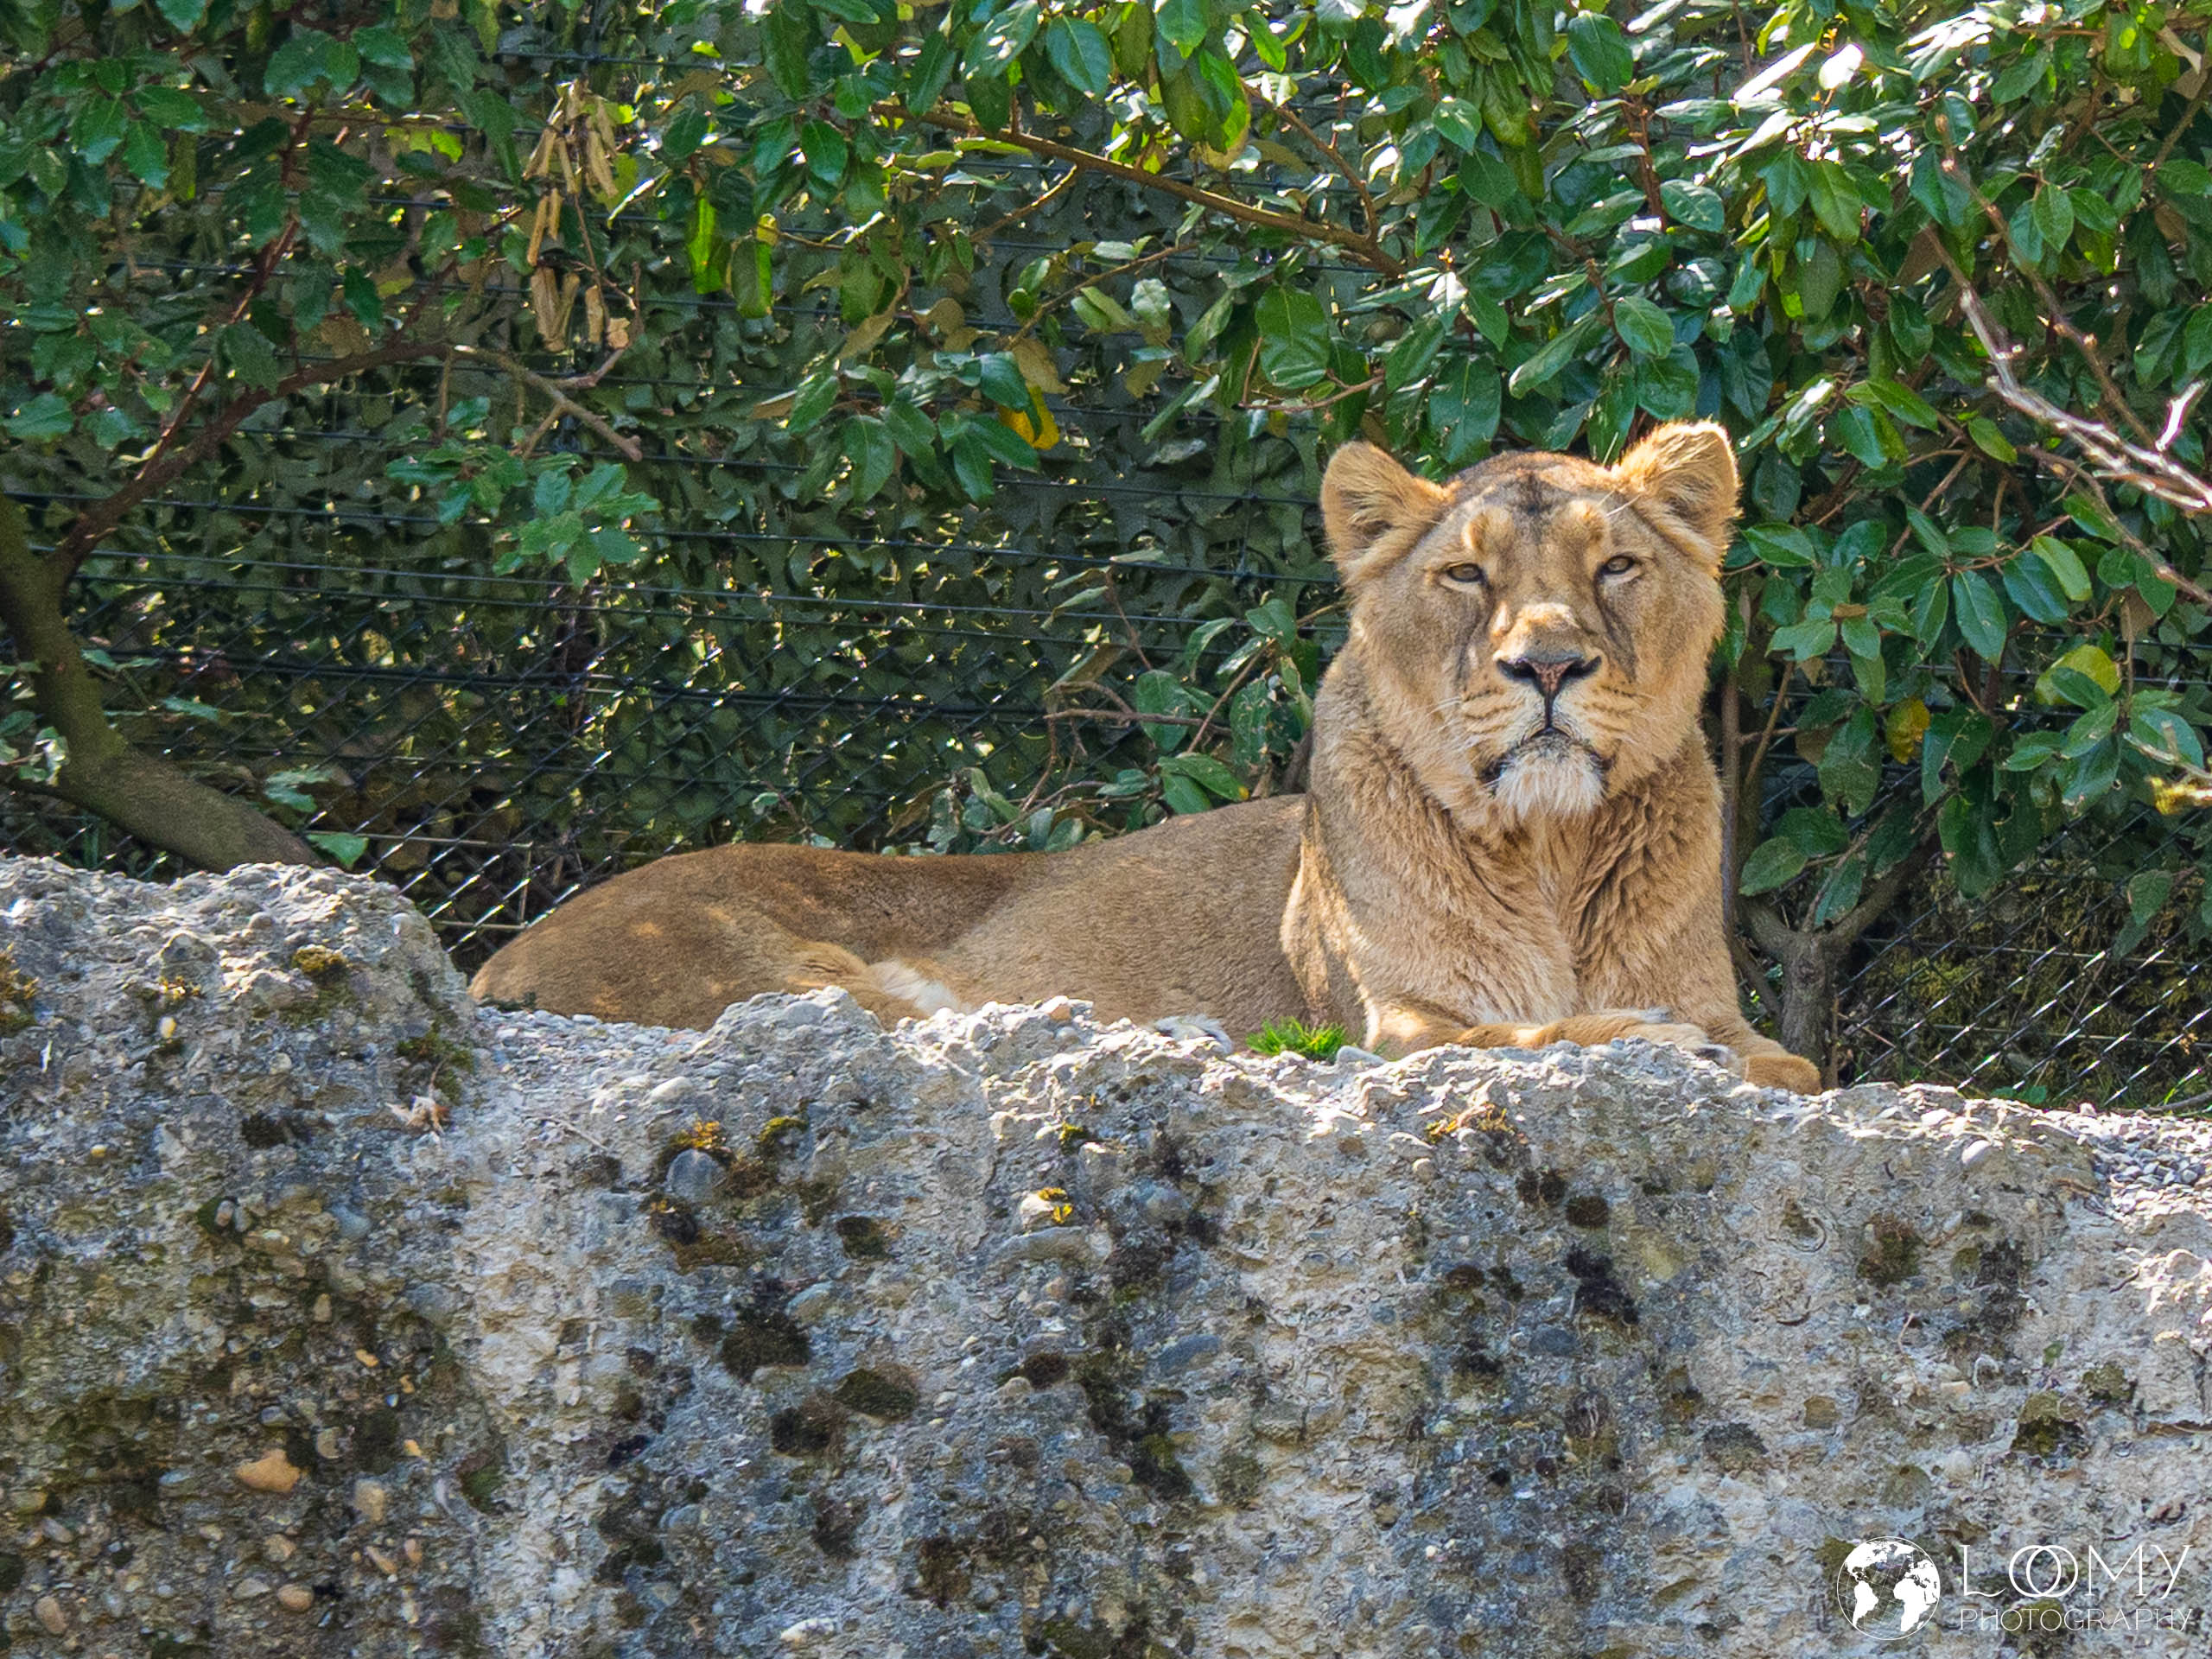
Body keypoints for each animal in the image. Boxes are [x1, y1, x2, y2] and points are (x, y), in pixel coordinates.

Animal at [470, 420, 1822, 1093]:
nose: (1546, 667)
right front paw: (1654, 1046)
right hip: (806, 983)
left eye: (1615, 566)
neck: (1547, 852)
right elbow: (1525, 1037)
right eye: (1465, 576)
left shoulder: (1739, 1011)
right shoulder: (1390, 1024)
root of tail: (501, 957)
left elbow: (1794, 1060)